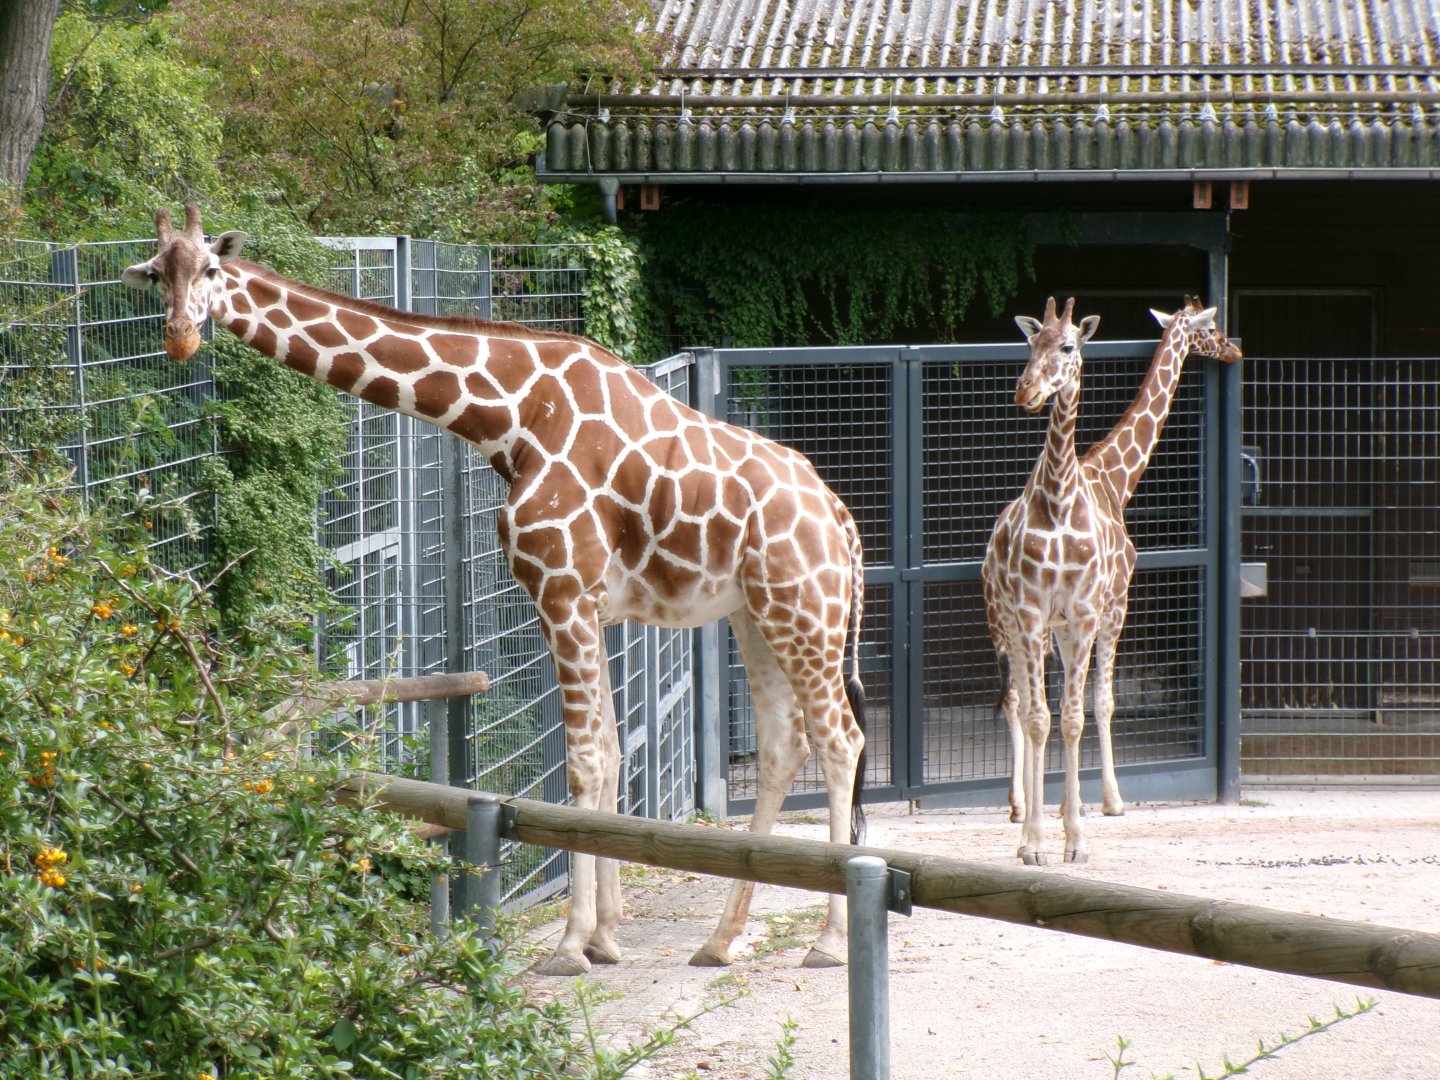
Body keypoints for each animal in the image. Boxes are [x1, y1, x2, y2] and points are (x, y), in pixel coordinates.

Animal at [123, 206, 867, 974]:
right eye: (154, 273)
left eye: (211, 269)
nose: (180, 337)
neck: (510, 415)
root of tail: (842, 522)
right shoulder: (581, 603)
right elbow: (610, 752)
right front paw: (606, 936)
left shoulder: (563, 590)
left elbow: (585, 760)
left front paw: (571, 946)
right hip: (757, 613)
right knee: (785, 743)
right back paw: (721, 940)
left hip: (804, 611)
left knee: (840, 737)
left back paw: (828, 941)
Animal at [981, 296, 1240, 865]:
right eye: (1030, 344)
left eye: (1067, 346)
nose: (1025, 390)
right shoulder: (1094, 609)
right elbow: (1077, 710)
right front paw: (1067, 826)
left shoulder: (1078, 615)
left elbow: (1074, 714)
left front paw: (1071, 830)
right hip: (1008, 622)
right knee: (1022, 707)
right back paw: (1022, 814)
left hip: (1035, 630)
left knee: (1029, 704)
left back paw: (1030, 807)